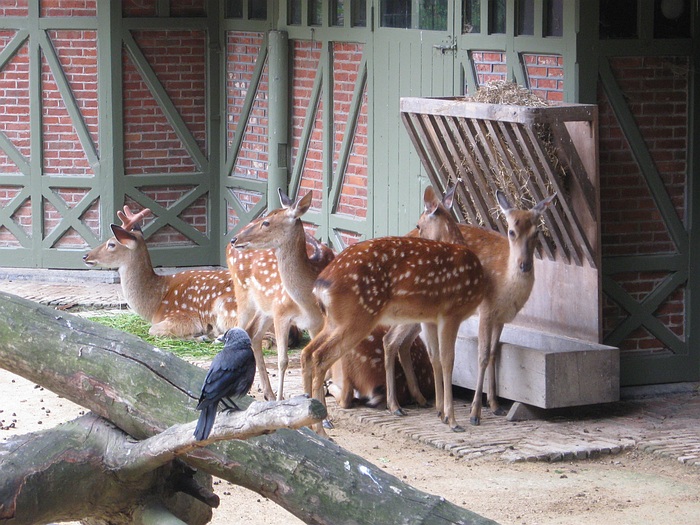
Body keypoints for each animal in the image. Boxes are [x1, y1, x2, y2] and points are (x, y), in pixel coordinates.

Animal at [83, 206, 237, 340]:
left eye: (111, 244)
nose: (85, 256)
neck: (155, 304)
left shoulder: (183, 315)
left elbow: (152, 330)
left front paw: (200, 335)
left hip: (225, 306)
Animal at [300, 186, 487, 434]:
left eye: (419, 224)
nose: (412, 234)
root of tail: (320, 285)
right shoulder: (451, 313)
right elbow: (448, 360)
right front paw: (453, 420)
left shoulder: (431, 317)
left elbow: (436, 358)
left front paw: (441, 413)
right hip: (357, 317)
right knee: (320, 356)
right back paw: (322, 426)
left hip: (335, 320)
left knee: (307, 352)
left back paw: (309, 419)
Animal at [380, 185, 556, 425]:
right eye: (511, 231)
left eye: (536, 232)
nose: (525, 265)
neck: (505, 284)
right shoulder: (486, 310)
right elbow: (481, 356)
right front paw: (474, 413)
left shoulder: (501, 317)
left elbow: (493, 353)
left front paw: (495, 405)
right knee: (390, 339)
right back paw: (396, 406)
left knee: (403, 342)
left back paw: (420, 400)